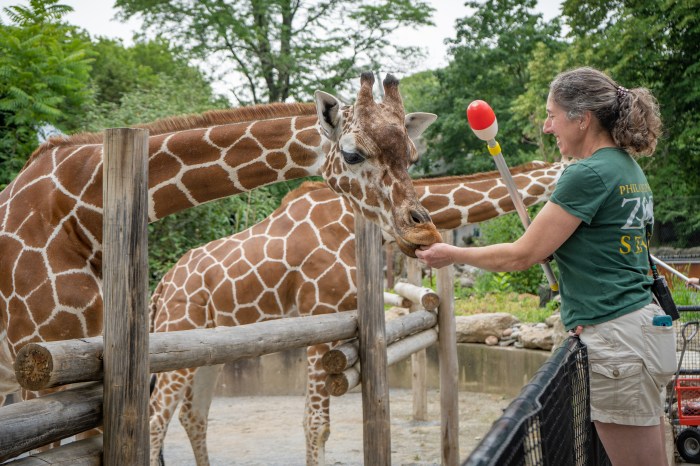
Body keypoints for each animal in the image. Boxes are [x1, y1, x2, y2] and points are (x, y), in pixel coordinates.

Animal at [0, 71, 438, 410]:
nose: (424, 232)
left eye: (412, 156)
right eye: (351, 154)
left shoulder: (87, 362)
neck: (84, 218)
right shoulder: (48, 365)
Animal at [148, 161, 564, 466]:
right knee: (156, 418)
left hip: (211, 351)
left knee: (193, 415)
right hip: (177, 335)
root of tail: (161, 288)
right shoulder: (319, 314)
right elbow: (316, 425)